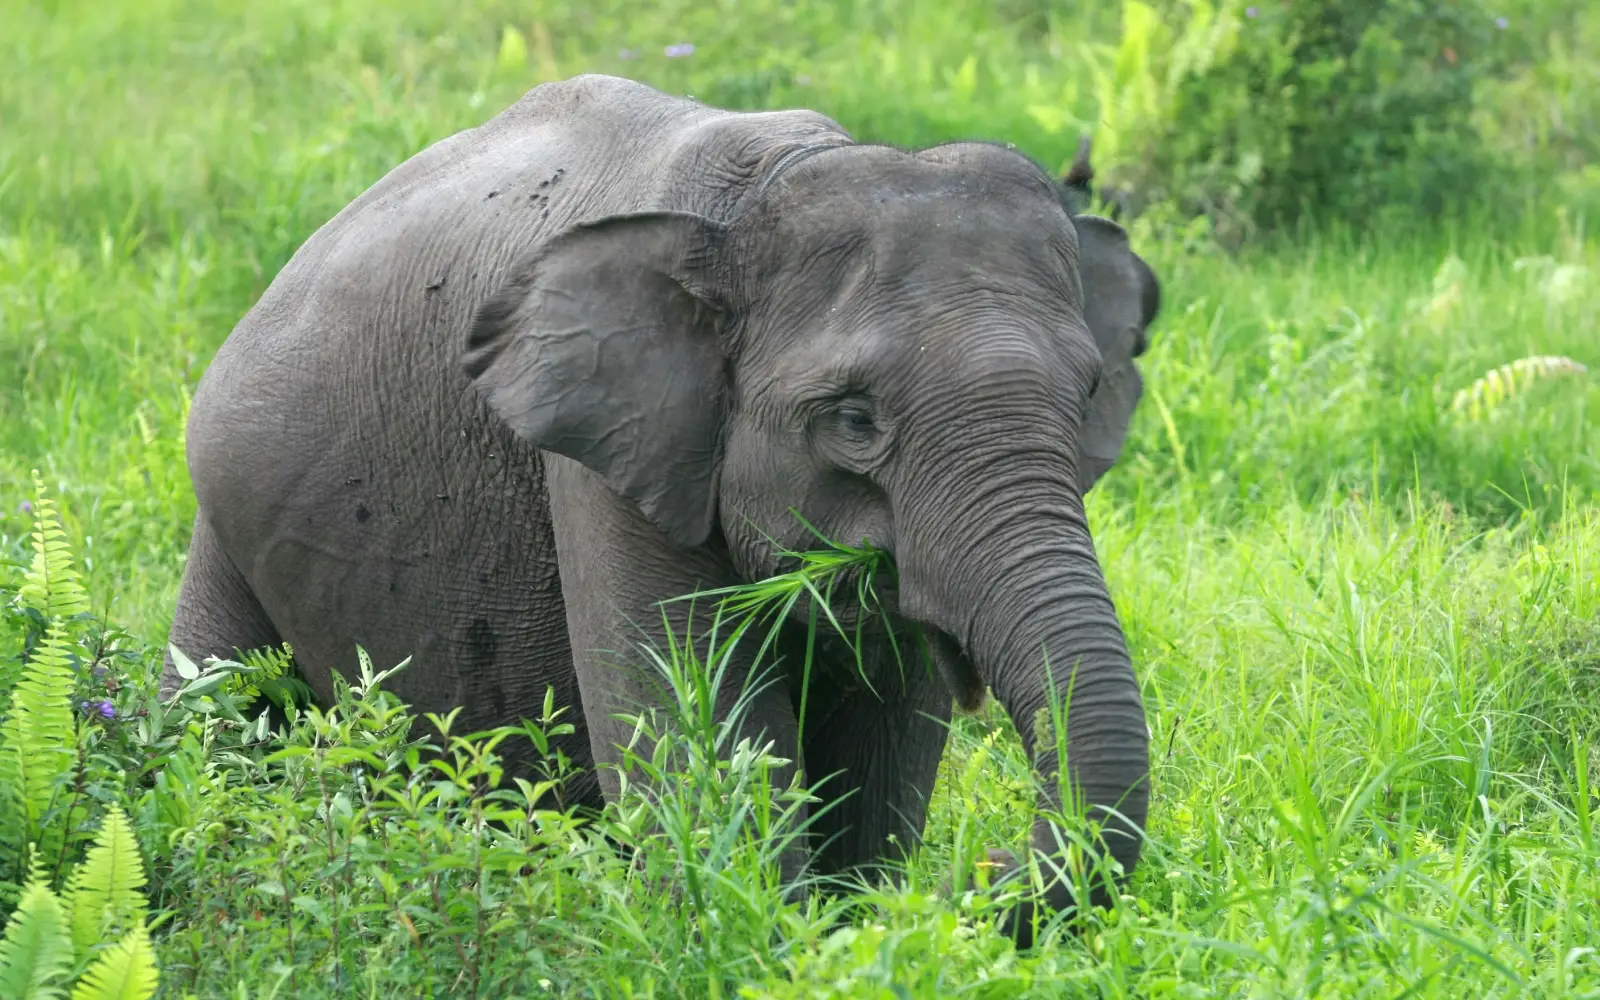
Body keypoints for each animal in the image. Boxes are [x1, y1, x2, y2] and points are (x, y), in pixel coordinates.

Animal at [162, 74, 1160, 944]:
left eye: (1088, 397)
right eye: (853, 420)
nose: (988, 874)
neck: (768, 190)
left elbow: (883, 745)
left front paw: (855, 925)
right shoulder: (608, 459)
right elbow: (697, 738)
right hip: (223, 517)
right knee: (212, 707)